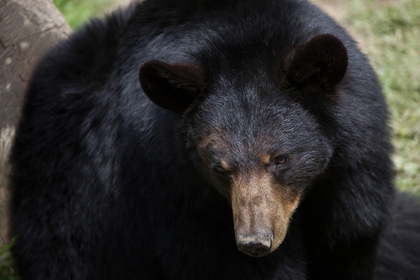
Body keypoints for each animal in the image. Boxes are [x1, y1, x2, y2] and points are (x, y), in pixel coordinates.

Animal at [9, 0, 420, 278]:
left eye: (281, 159)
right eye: (218, 167)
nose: (255, 242)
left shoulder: (354, 181)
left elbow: (349, 244)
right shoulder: (182, 197)